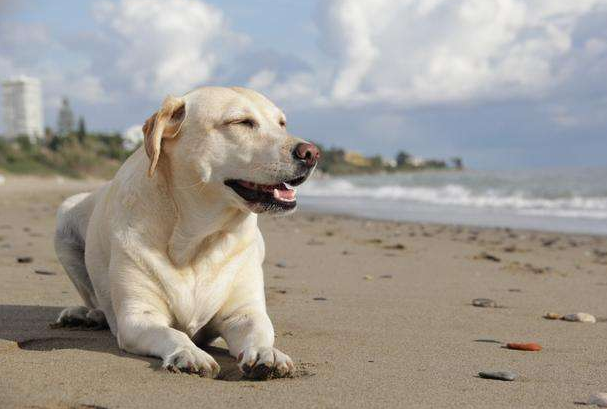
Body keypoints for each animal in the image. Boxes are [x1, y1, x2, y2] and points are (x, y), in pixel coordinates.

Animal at [53, 86, 318, 380]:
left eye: (282, 123)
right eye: (241, 122)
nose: (311, 153)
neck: (198, 239)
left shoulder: (244, 312)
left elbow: (260, 330)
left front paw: (266, 353)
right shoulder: (138, 317)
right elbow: (172, 334)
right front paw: (189, 353)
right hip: (64, 215)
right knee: (94, 300)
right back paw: (86, 315)